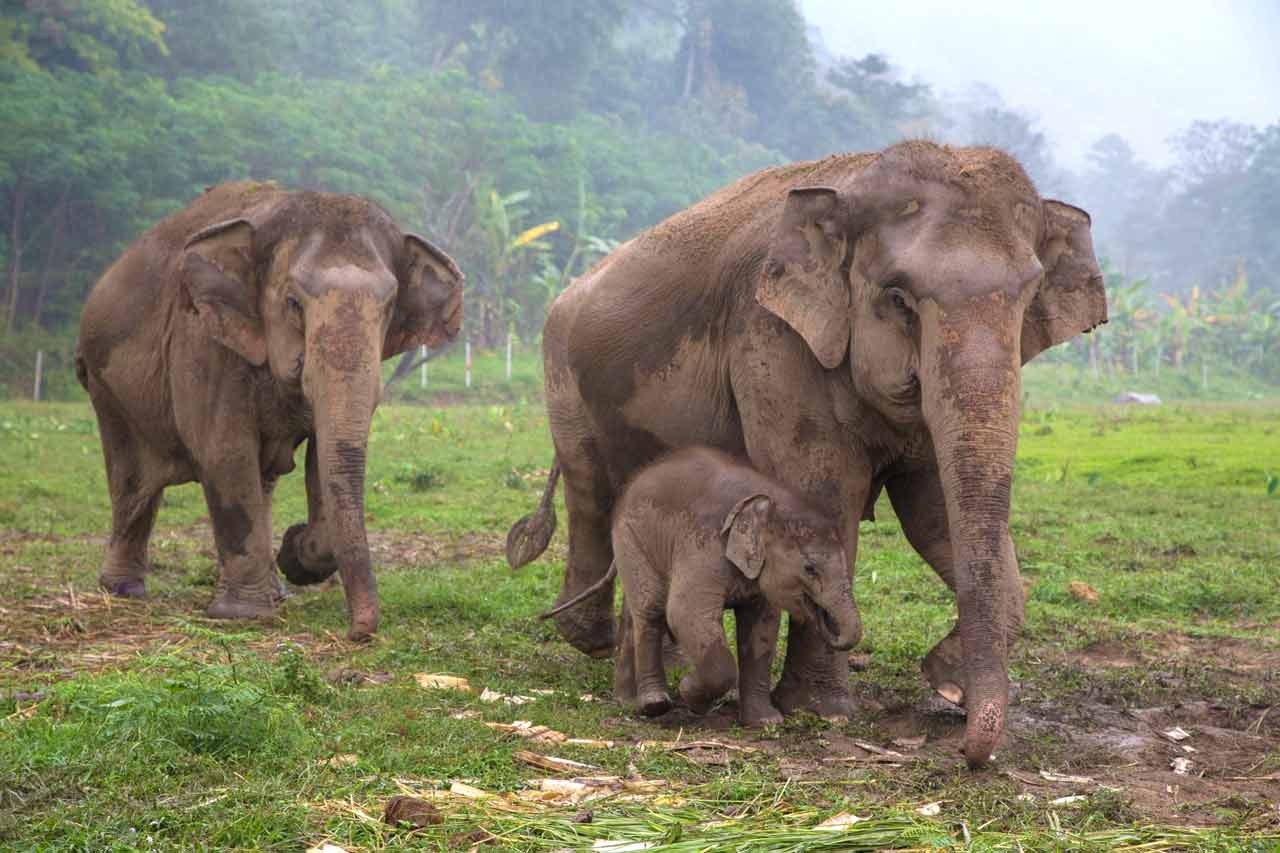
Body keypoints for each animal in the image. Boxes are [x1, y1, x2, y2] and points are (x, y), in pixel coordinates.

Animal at [76, 183, 465, 640]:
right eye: (293, 302)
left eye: (388, 308)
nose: (358, 633)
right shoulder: (203, 342)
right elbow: (226, 453)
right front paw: (244, 614)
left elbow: (321, 460)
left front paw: (294, 553)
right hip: (104, 383)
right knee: (132, 480)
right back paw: (123, 589)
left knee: (259, 482)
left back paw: (275, 589)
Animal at [540, 445, 860, 722]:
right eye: (810, 569)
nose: (829, 624)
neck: (768, 502)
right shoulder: (704, 546)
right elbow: (686, 613)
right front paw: (691, 695)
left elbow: (761, 628)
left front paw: (766, 722)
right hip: (630, 537)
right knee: (652, 609)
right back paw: (654, 704)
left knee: (637, 611)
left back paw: (627, 700)